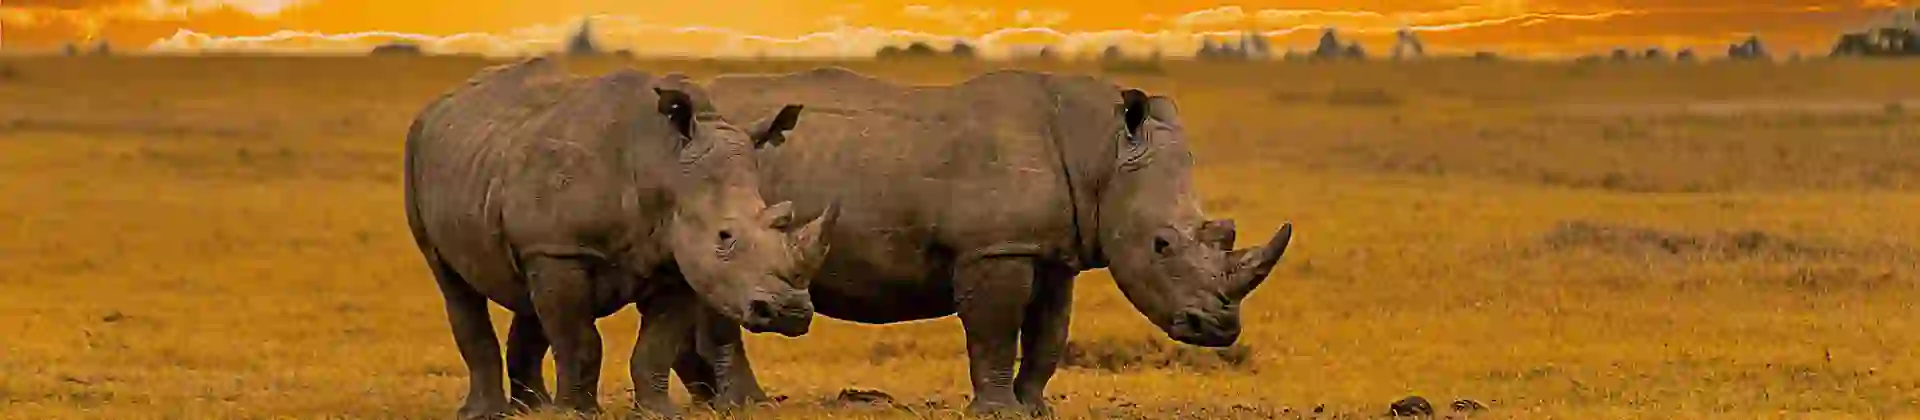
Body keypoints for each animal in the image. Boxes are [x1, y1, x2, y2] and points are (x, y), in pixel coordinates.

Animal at [402, 57, 835, 419]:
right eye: (724, 236)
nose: (791, 313)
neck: (663, 163)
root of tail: (439, 104)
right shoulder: (563, 250)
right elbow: (579, 341)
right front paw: (576, 414)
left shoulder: (675, 259)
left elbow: (656, 346)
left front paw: (659, 413)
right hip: (418, 151)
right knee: (455, 284)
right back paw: (486, 413)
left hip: (500, 170)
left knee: (529, 294)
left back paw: (532, 409)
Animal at [654, 68, 1294, 416]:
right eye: (1162, 245)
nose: (1219, 329)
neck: (1101, 151)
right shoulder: (996, 247)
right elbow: (995, 331)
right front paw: (996, 411)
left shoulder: (1048, 248)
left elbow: (1049, 333)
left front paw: (1036, 408)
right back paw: (746, 406)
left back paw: (710, 403)